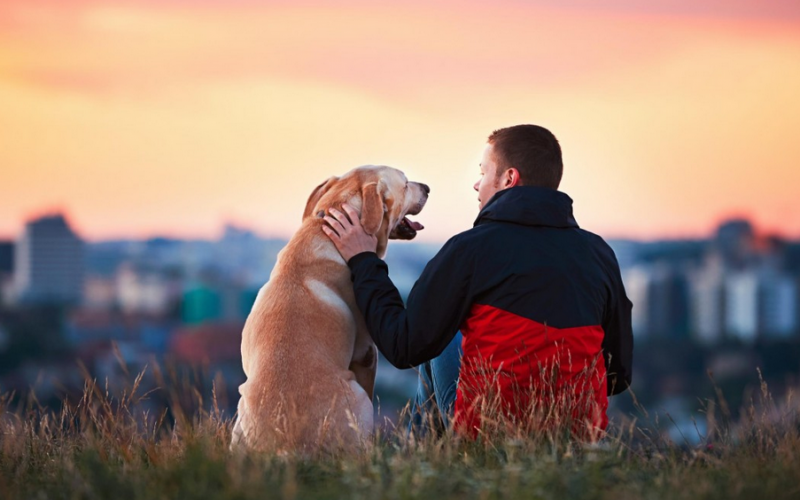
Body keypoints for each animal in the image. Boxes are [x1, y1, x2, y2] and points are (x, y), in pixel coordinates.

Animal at [231, 165, 428, 454]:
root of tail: (285, 447)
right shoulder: (367, 353)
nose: (427, 188)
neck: (324, 231)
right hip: (358, 398)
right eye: (404, 184)